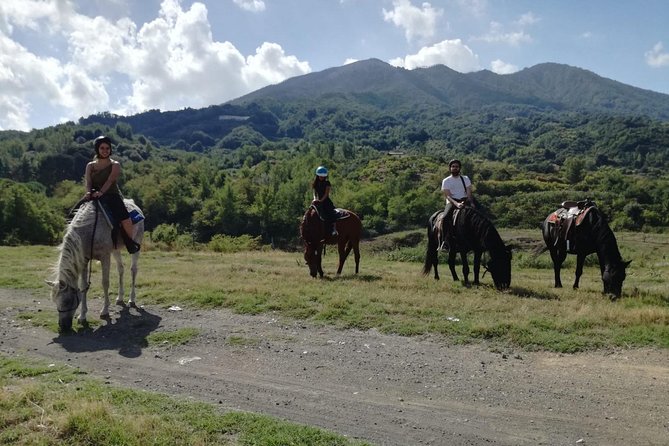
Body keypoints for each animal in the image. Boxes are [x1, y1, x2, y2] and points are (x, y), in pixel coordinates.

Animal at [48, 199, 145, 332]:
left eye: (67, 301)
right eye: (54, 301)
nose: (63, 327)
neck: (88, 232)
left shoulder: (105, 257)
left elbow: (105, 283)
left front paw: (105, 310)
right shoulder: (84, 260)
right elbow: (83, 286)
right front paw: (82, 316)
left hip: (136, 244)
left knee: (133, 270)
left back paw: (132, 299)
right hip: (115, 250)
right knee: (121, 269)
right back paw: (120, 297)